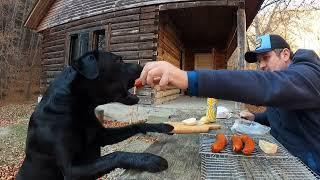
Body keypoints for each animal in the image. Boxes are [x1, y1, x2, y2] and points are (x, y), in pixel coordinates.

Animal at [16, 51, 174, 180]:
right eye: (118, 60)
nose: (144, 66)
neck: (80, 109)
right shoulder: (71, 169)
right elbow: (115, 154)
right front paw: (148, 159)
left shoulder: (102, 136)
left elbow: (136, 125)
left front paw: (161, 126)